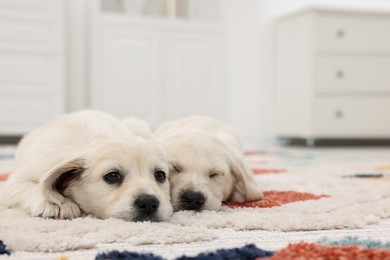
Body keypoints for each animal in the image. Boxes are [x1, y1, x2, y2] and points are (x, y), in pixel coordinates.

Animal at [0, 109, 172, 221]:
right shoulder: (16, 180)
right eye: (112, 176)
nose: (149, 203)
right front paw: (55, 203)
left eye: (160, 175)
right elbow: (33, 186)